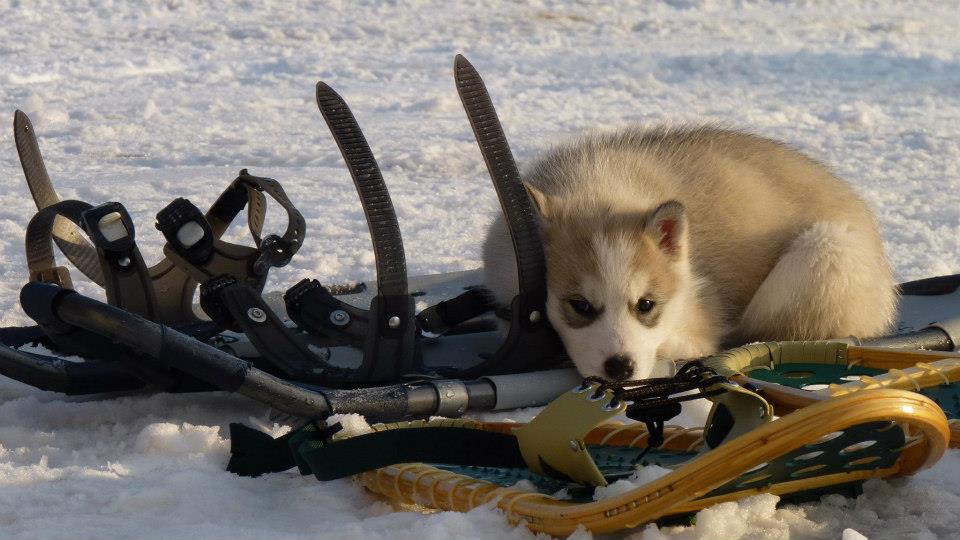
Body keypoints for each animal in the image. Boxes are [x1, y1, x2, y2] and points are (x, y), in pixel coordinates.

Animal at [488, 126, 900, 380]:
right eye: (580, 305)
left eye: (646, 305)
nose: (620, 369)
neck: (597, 192)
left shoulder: (698, 318)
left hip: (824, 251)